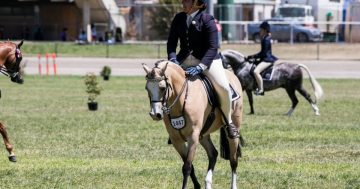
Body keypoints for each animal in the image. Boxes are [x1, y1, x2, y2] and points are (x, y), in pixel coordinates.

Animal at [143, 60, 245, 189]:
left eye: (162, 88)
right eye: (147, 88)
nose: (155, 114)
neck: (182, 100)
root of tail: (232, 75)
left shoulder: (192, 137)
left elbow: (187, 167)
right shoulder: (177, 140)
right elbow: (190, 166)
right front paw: (197, 186)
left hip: (233, 127)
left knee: (233, 160)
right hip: (203, 134)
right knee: (213, 154)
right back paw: (207, 183)